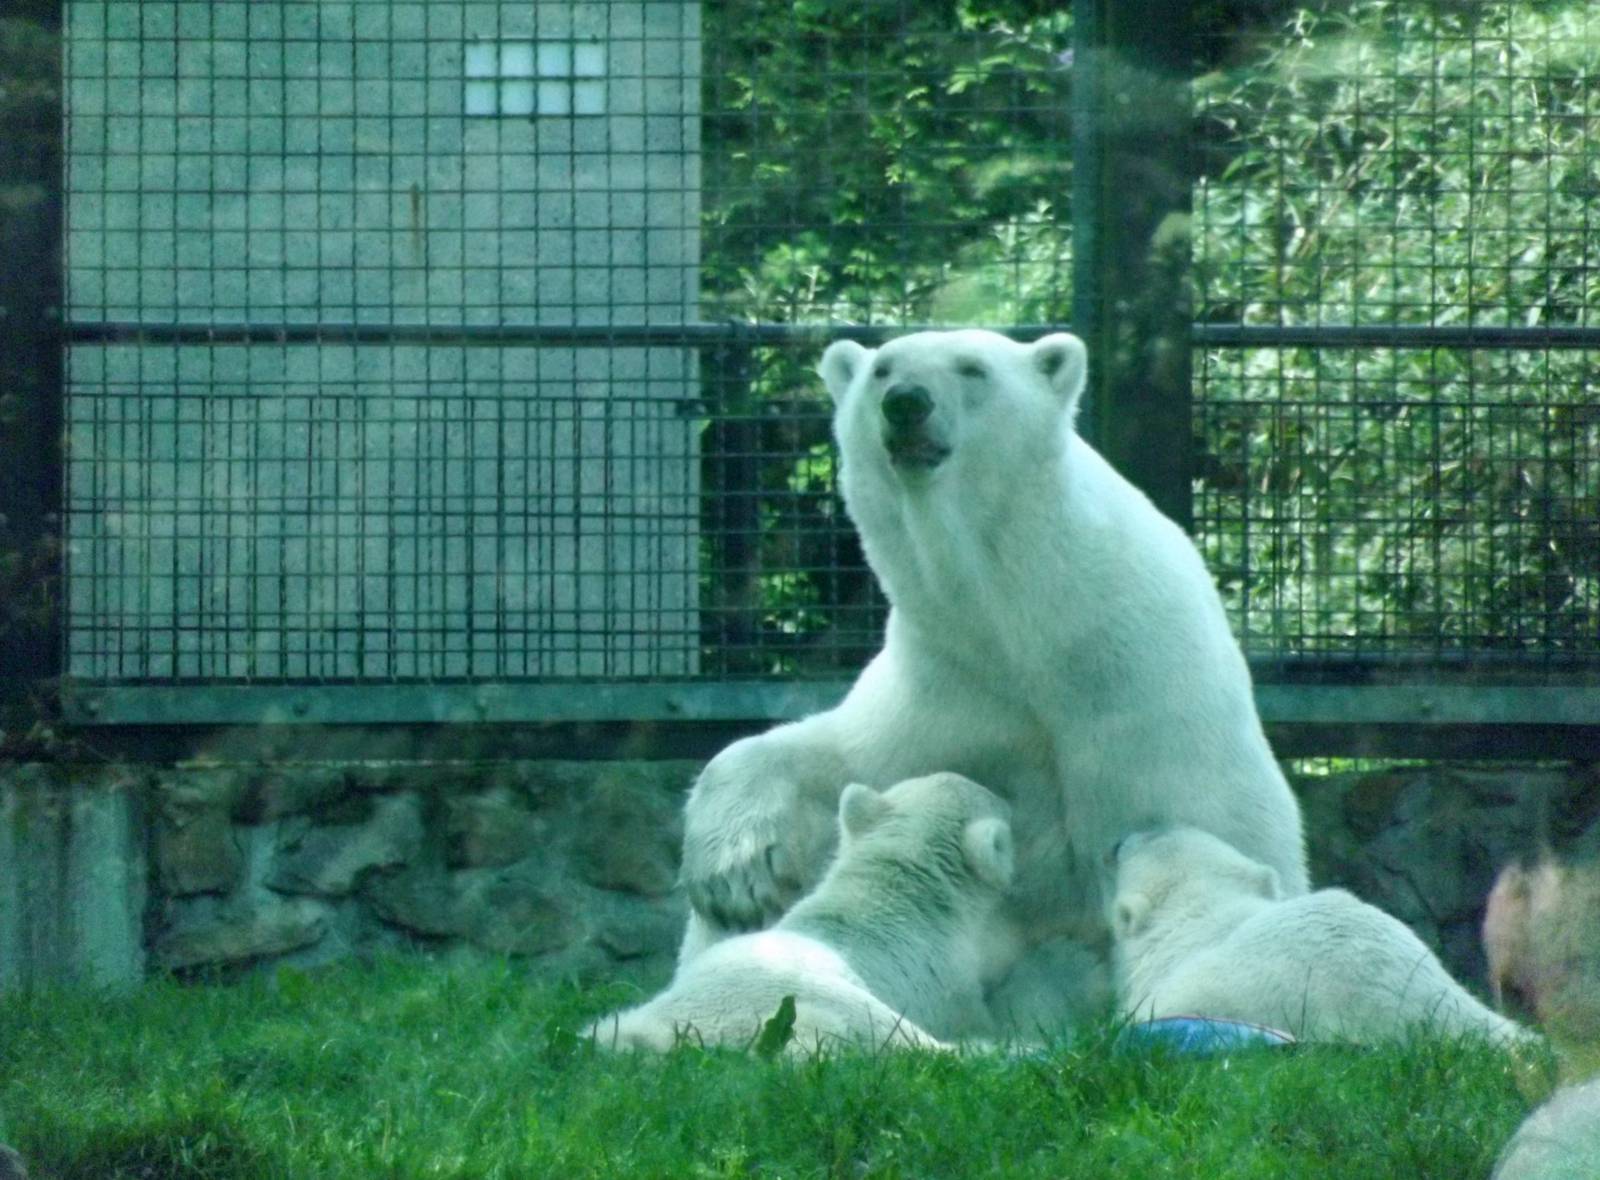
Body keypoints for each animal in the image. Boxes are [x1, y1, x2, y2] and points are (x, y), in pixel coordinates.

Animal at [677, 328, 1307, 1036]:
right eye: (882, 369)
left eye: (972, 368)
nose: (906, 402)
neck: (1020, 621)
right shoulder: (945, 686)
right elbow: (837, 760)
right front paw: (737, 870)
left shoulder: (1144, 691)